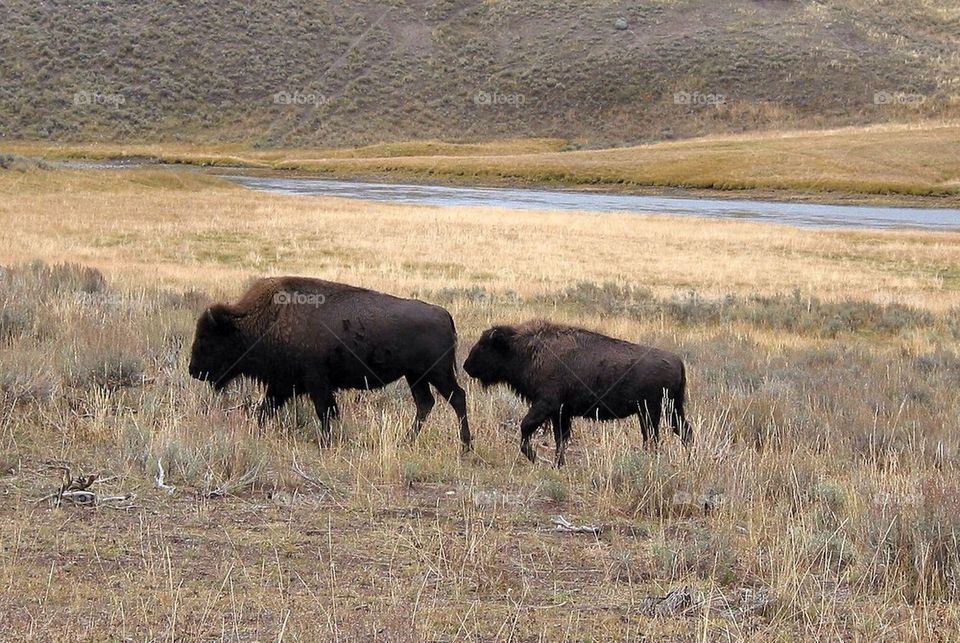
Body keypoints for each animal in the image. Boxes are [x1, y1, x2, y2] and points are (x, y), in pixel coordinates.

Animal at [188, 276, 470, 448]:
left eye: (206, 338)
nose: (194, 370)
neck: (265, 321)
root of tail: (443, 313)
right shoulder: (281, 384)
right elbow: (266, 409)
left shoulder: (316, 383)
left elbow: (323, 411)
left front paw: (325, 441)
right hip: (415, 377)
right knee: (425, 403)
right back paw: (406, 441)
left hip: (438, 373)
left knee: (457, 397)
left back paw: (465, 446)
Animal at [463, 320, 690, 465]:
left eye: (485, 345)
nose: (466, 366)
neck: (528, 350)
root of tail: (677, 361)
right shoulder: (561, 414)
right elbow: (560, 439)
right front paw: (558, 464)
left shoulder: (546, 405)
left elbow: (526, 427)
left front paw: (535, 458)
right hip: (670, 411)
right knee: (682, 432)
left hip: (651, 412)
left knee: (654, 437)